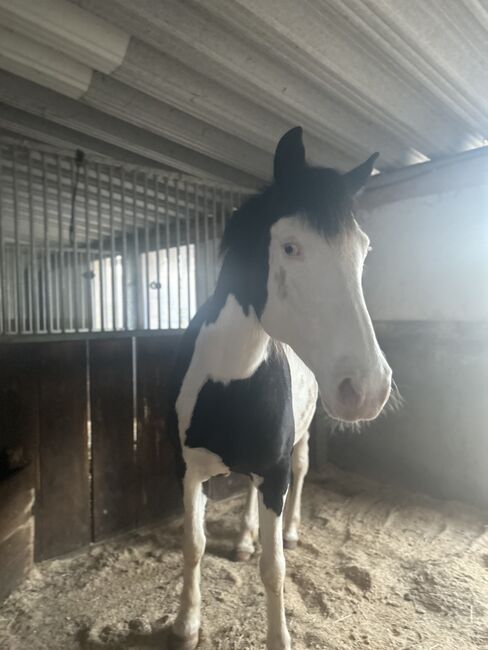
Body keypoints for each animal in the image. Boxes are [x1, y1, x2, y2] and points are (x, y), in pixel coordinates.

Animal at [170, 128, 390, 648]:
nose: (369, 388)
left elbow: (275, 569)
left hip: (299, 442)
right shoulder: (190, 470)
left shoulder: (276, 472)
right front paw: (186, 624)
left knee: (303, 470)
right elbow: (194, 545)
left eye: (363, 250)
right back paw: (245, 539)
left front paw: (278, 635)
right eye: (290, 247)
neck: (228, 381)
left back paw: (288, 530)